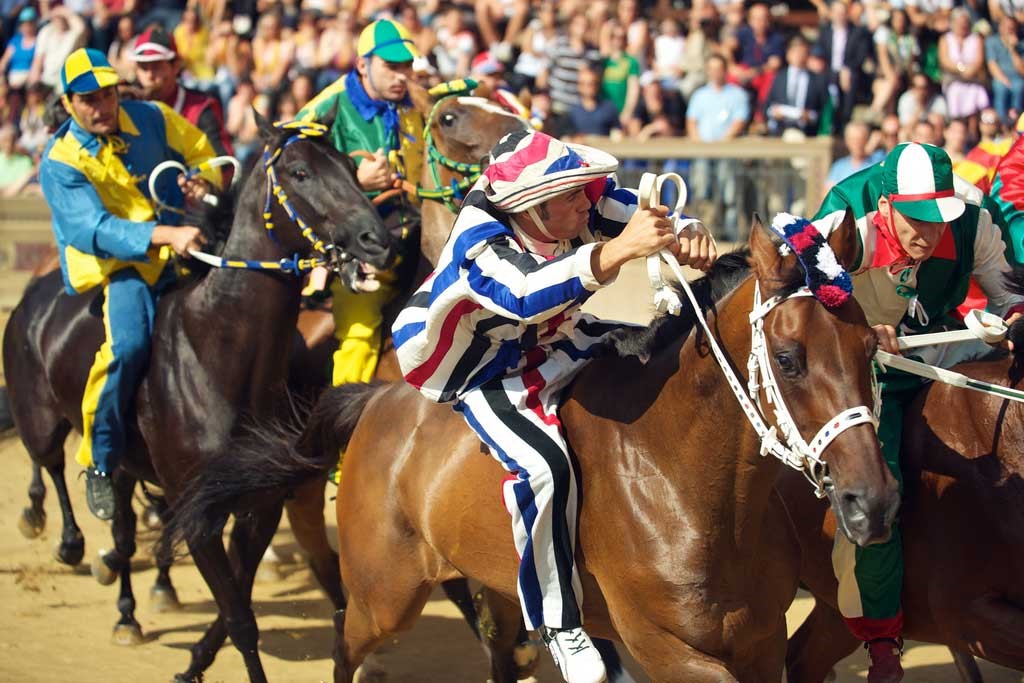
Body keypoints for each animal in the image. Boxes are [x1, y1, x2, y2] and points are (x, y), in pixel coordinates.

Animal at [2, 112, 393, 683]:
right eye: (299, 171)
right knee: (50, 464)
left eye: (348, 164)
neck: (218, 355)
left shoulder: (258, 506)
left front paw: (192, 663)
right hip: (41, 417)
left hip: (128, 463)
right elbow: (240, 620)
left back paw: (127, 608)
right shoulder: (199, 511)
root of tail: (36, 292)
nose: (377, 239)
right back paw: (65, 537)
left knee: (122, 527)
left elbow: (238, 602)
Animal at [172, 210, 901, 679]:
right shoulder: (669, 649)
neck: (685, 486)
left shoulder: (760, 639)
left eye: (870, 347)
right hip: (385, 594)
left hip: (489, 584)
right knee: (345, 644)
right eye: (788, 357)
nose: (873, 502)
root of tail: (375, 402)